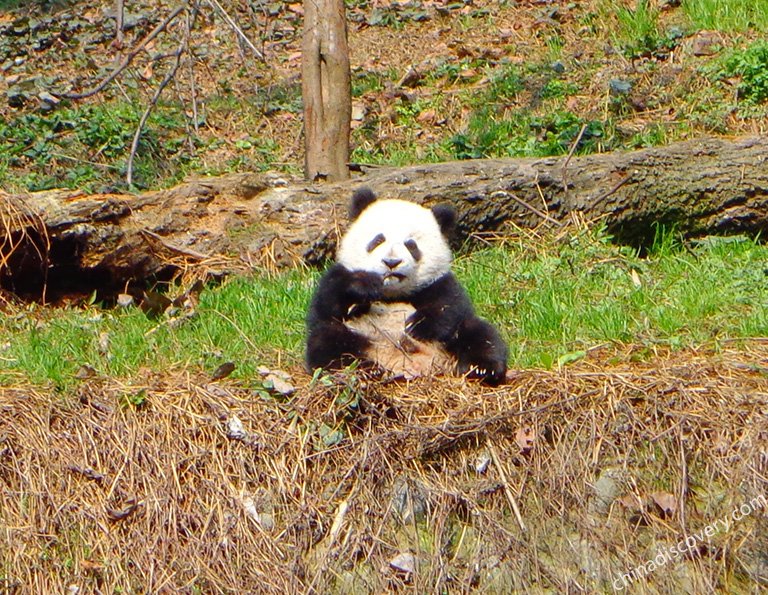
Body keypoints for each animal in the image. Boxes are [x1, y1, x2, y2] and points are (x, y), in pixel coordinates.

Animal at [304, 189, 508, 388]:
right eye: (378, 240)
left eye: (411, 245)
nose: (391, 262)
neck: (391, 293)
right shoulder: (339, 274)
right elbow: (327, 304)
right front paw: (364, 286)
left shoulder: (437, 282)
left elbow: (450, 304)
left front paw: (416, 326)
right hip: (356, 334)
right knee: (328, 343)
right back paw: (367, 370)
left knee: (479, 334)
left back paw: (483, 369)